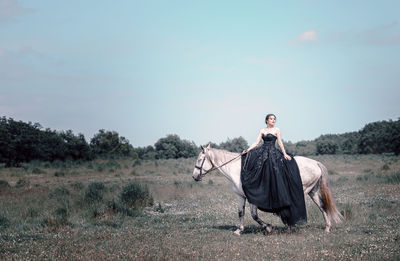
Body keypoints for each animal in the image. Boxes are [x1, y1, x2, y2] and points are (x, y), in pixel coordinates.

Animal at [192, 143, 342, 235]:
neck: (237, 170)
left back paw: (290, 226)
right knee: (322, 206)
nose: (194, 176)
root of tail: (315, 162)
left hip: (305, 190)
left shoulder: (252, 197)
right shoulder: (240, 196)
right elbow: (241, 213)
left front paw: (268, 228)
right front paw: (239, 230)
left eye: (199, 159)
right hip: (313, 191)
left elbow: (254, 215)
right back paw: (327, 228)